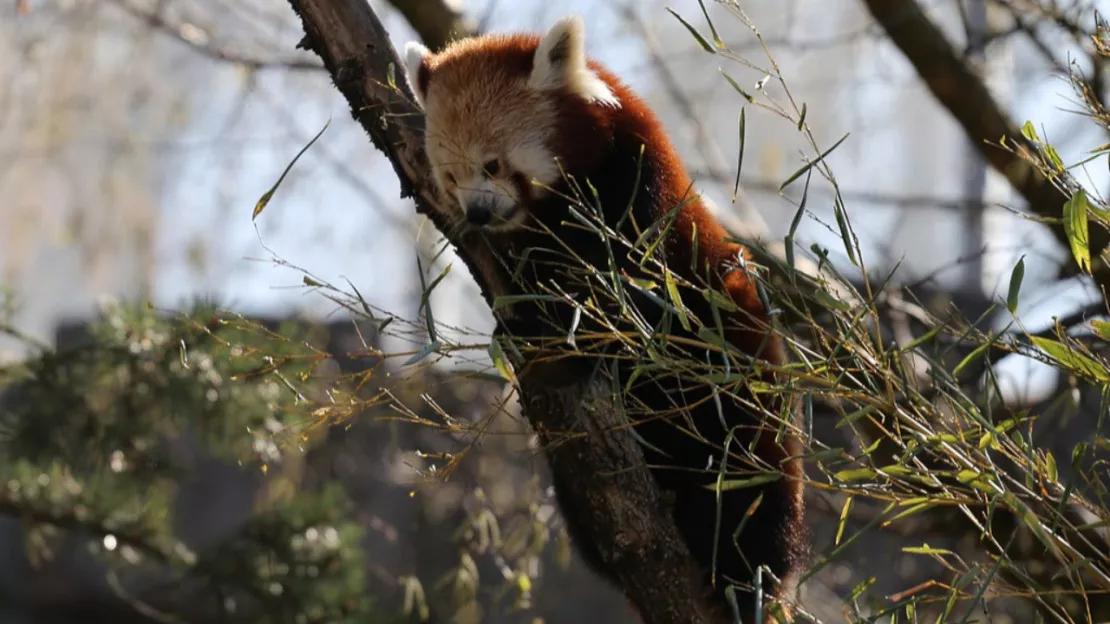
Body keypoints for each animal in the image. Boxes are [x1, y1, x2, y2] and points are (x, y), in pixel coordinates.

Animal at [404, 15, 812, 621]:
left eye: (493, 164)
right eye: (451, 176)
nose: (478, 212)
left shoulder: (638, 192)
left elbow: (630, 294)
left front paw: (579, 330)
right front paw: (525, 320)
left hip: (741, 385)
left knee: (749, 495)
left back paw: (740, 576)